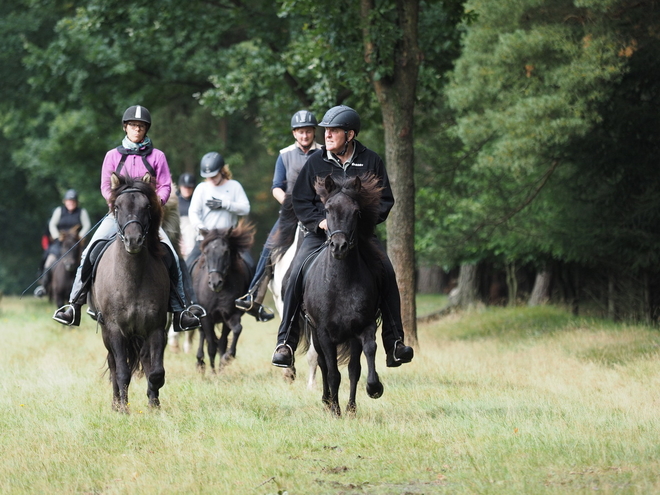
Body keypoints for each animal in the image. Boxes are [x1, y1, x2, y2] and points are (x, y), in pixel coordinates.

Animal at [91, 174, 171, 414]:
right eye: (117, 206)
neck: (132, 278)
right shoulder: (115, 329)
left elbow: (156, 371)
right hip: (107, 333)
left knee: (144, 359)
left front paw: (154, 404)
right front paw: (123, 409)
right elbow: (122, 371)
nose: (133, 240)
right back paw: (116, 403)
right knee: (113, 363)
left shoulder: (156, 328)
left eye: (147, 206)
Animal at [191, 223, 255, 374]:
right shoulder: (206, 316)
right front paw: (213, 372)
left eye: (226, 251)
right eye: (206, 252)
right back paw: (200, 363)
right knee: (203, 335)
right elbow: (211, 346)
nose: (215, 283)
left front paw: (225, 361)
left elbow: (233, 333)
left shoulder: (230, 314)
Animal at [300, 174, 384, 418]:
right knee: (322, 363)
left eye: (356, 212)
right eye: (327, 210)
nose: (339, 246)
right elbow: (332, 372)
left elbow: (361, 361)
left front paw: (368, 392)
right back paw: (327, 400)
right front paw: (335, 410)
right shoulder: (324, 333)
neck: (340, 284)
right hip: (315, 334)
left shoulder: (363, 327)